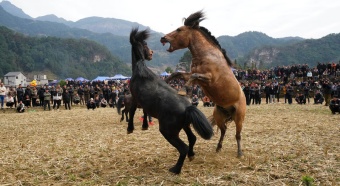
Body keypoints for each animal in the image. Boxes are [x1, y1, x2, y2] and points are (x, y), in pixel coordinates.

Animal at [127, 28, 212, 174]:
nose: (151, 53)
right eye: (145, 44)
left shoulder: (135, 97)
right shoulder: (144, 103)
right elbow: (145, 112)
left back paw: (175, 169)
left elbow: (133, 111)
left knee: (183, 147)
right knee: (192, 138)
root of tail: (188, 108)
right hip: (184, 125)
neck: (140, 71)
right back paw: (191, 155)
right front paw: (144, 125)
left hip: (168, 131)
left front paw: (130, 128)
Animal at [161, 10, 246, 158]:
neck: (206, 56)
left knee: (238, 135)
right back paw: (218, 148)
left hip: (239, 117)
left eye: (179, 29)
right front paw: (164, 81)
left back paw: (239, 153)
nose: (163, 38)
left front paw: (183, 90)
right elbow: (177, 74)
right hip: (219, 115)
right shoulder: (196, 77)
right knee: (223, 130)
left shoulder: (209, 78)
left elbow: (192, 77)